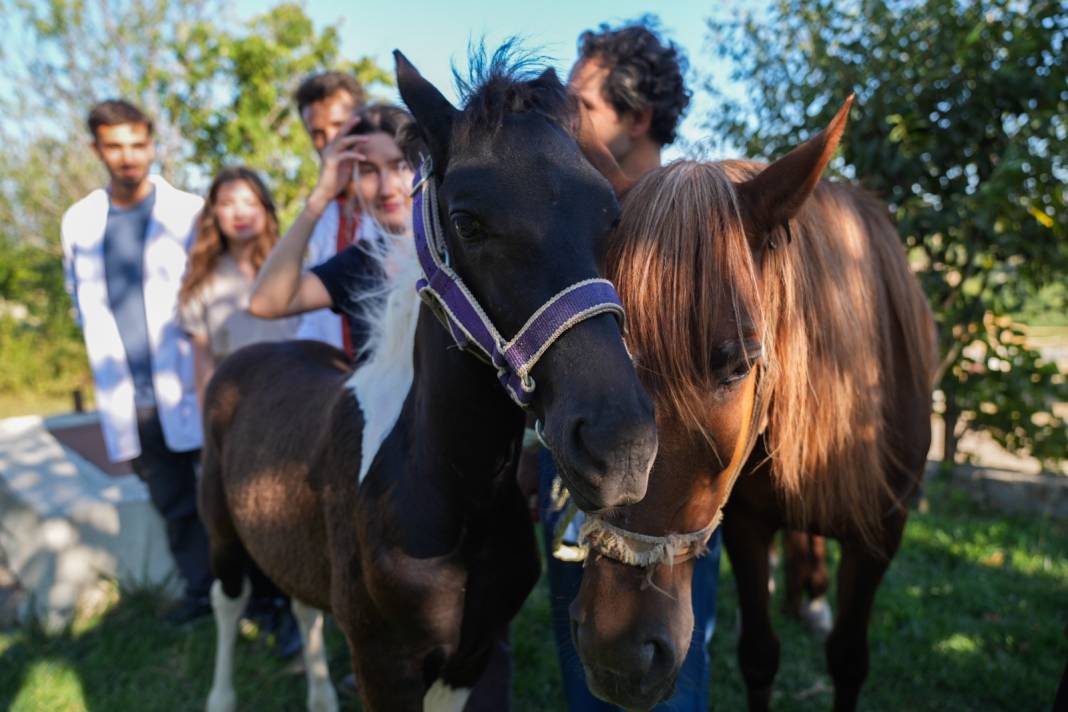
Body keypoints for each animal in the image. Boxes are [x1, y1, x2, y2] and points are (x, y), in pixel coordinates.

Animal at [196, 45, 653, 712]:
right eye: (466, 222)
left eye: (611, 216)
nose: (621, 448)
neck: (451, 494)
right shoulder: (384, 666)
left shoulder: (470, 655)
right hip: (222, 532)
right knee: (227, 604)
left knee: (303, 606)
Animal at [568, 101, 935, 712]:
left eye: (738, 366)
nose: (617, 654)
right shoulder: (746, 523)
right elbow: (760, 655)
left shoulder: (881, 536)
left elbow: (848, 659)